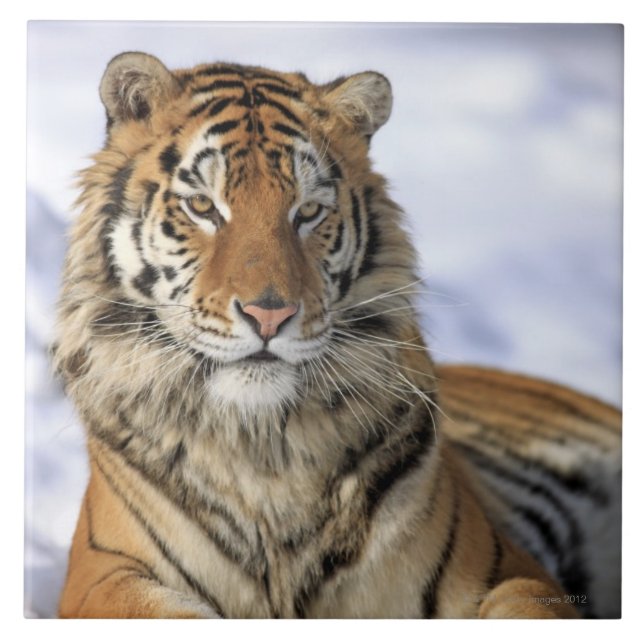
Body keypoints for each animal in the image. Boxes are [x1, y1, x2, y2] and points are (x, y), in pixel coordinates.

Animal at [52, 52, 621, 619]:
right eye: (203, 206)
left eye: (307, 211)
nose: (268, 315)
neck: (264, 450)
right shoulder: (104, 575)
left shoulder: (506, 569)